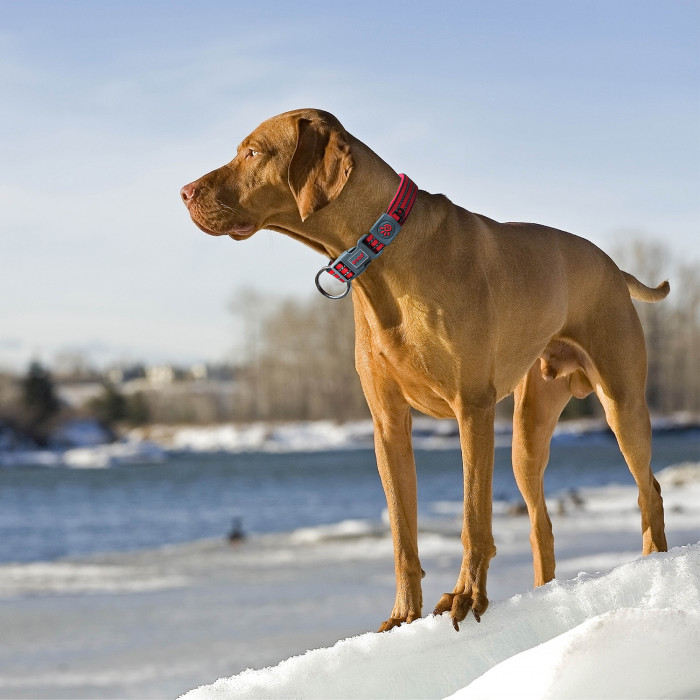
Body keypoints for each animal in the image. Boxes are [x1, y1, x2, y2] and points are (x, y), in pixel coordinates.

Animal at [179, 106, 668, 632]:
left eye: (251, 152)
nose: (183, 192)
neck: (383, 254)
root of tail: (614, 267)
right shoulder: (388, 425)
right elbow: (401, 533)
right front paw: (402, 615)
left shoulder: (472, 409)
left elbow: (473, 518)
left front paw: (467, 595)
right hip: (527, 432)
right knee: (541, 521)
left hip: (622, 404)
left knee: (649, 489)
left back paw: (654, 564)